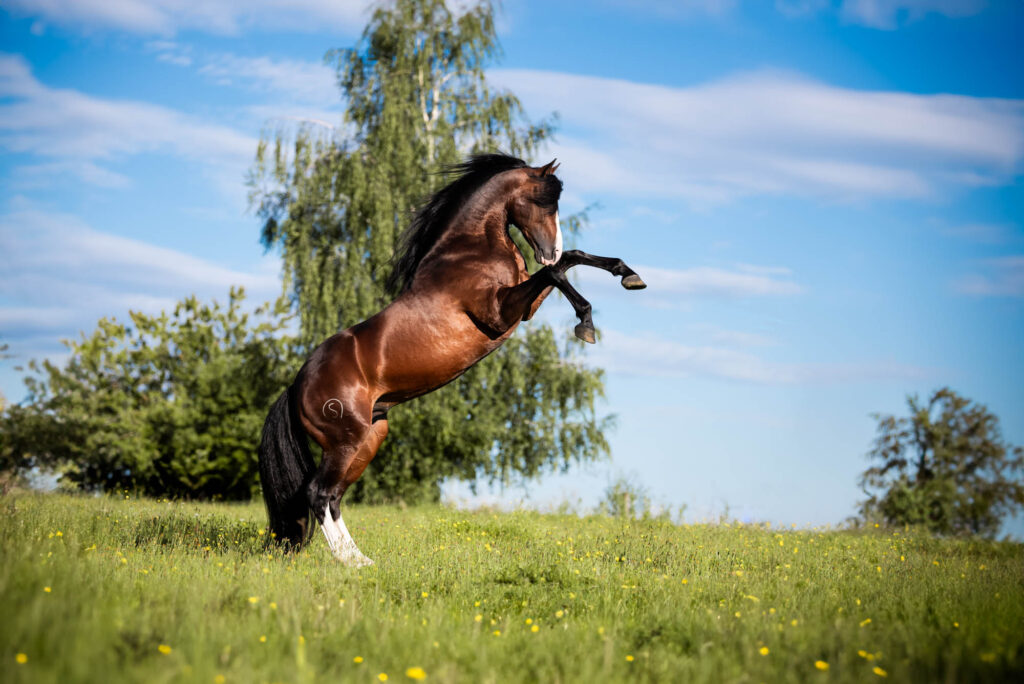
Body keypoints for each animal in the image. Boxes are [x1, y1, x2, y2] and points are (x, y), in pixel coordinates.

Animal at [258, 153, 645, 565]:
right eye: (542, 200)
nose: (548, 249)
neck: (469, 252)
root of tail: (297, 384)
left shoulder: (522, 310)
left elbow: (569, 262)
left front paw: (629, 276)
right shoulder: (499, 312)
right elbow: (556, 273)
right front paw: (586, 323)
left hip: (369, 438)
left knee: (332, 496)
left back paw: (362, 560)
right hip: (346, 441)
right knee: (318, 493)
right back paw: (352, 563)